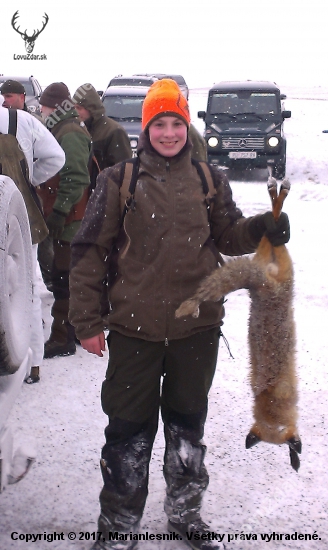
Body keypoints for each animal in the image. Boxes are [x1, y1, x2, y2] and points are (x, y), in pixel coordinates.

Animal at [177, 179, 302, 472]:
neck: (270, 402)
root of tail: (261, 287)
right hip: (284, 265)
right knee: (274, 232)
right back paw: (277, 198)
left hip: (266, 254)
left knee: (269, 233)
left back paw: (274, 205)